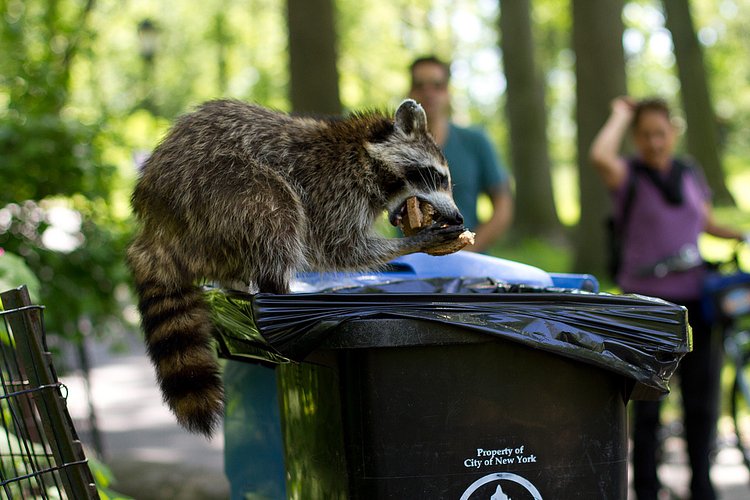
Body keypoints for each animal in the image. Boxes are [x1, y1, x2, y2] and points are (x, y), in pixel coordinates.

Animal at [126, 98, 466, 436]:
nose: (459, 217)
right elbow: (338, 247)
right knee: (275, 206)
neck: (366, 151)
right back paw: (279, 292)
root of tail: (156, 226)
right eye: (438, 178)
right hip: (216, 186)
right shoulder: (333, 186)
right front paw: (415, 241)